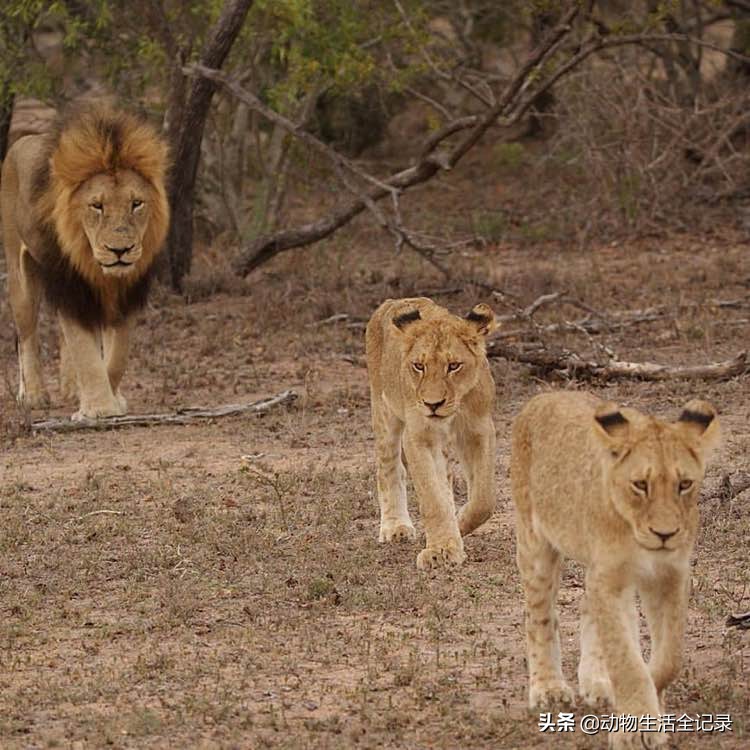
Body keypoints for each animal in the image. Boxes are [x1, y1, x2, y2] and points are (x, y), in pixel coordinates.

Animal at [2, 105, 170, 420]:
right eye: (97, 205)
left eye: (136, 203)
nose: (120, 250)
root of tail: (20, 142)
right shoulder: (70, 284)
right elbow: (85, 350)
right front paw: (98, 410)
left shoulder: (126, 291)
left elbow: (117, 354)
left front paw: (111, 398)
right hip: (20, 272)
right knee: (25, 334)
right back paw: (32, 395)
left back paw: (71, 389)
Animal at [366, 298, 500, 568]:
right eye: (419, 366)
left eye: (453, 366)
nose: (432, 404)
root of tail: (391, 301)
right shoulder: (418, 435)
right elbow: (432, 498)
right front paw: (440, 549)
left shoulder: (479, 430)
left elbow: (483, 500)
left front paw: (459, 523)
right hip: (384, 411)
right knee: (389, 468)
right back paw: (395, 527)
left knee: (444, 479)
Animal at [516, 390, 720, 748]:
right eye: (640, 484)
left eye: (684, 484)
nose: (665, 534)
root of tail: (547, 394)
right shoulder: (609, 578)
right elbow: (627, 662)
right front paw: (635, 727)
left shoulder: (670, 576)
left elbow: (667, 658)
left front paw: (646, 707)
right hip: (535, 544)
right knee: (540, 617)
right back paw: (548, 689)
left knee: (590, 610)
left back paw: (597, 682)